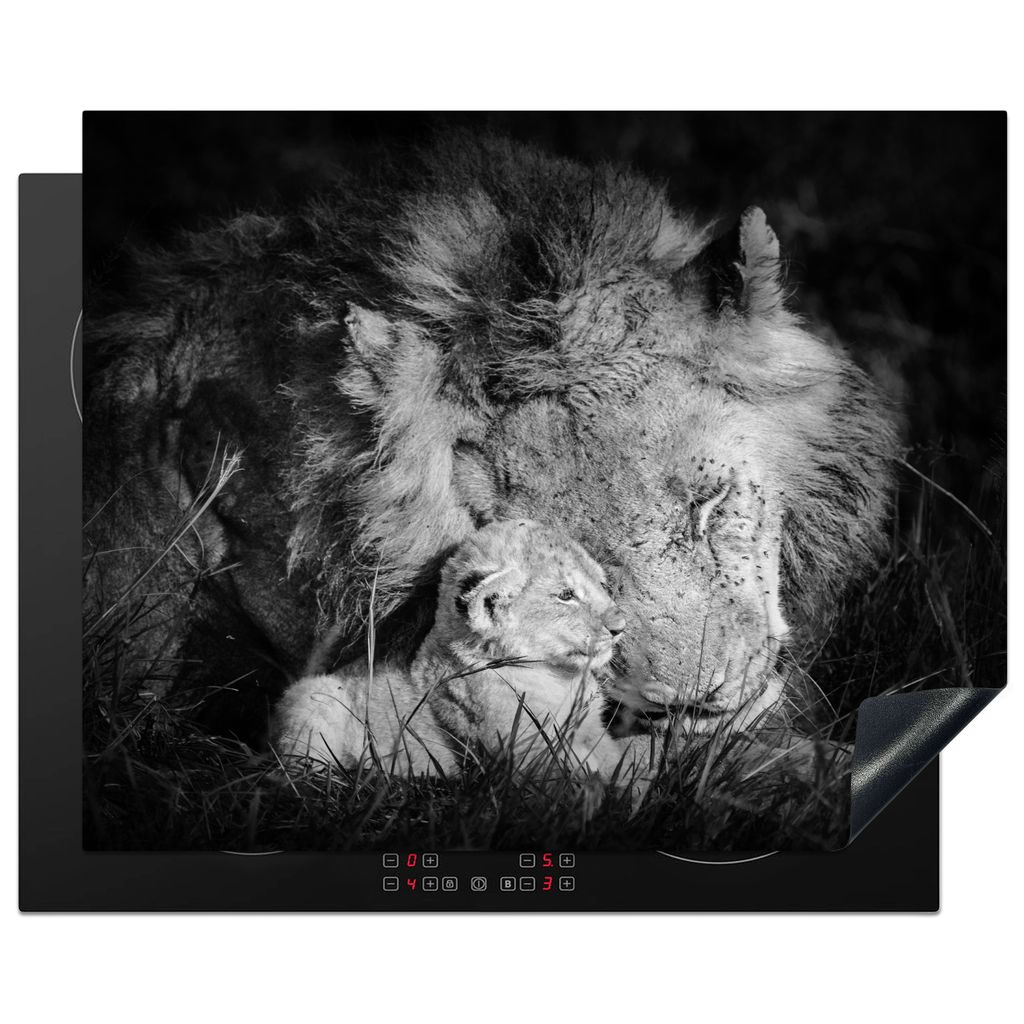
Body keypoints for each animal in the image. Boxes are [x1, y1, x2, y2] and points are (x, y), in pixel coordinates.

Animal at [274, 519, 646, 784]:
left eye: (602, 584)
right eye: (566, 595)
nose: (620, 626)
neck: (559, 678)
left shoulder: (594, 732)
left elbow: (621, 759)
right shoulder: (527, 754)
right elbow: (590, 784)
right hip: (314, 697)